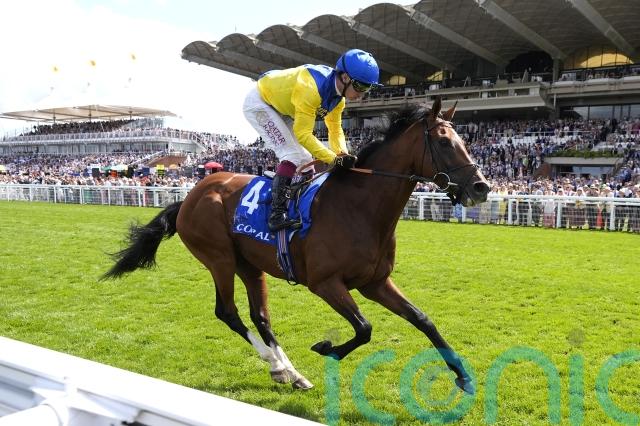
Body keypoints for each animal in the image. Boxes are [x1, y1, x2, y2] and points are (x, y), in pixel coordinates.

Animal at [103, 98, 490, 393]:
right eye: (444, 142)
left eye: (464, 139)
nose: (481, 187)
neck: (359, 207)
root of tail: (191, 196)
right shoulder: (324, 283)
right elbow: (364, 328)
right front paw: (327, 347)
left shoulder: (375, 282)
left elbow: (423, 320)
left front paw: (464, 377)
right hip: (218, 258)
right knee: (227, 312)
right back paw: (276, 365)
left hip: (249, 265)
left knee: (260, 317)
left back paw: (290, 372)